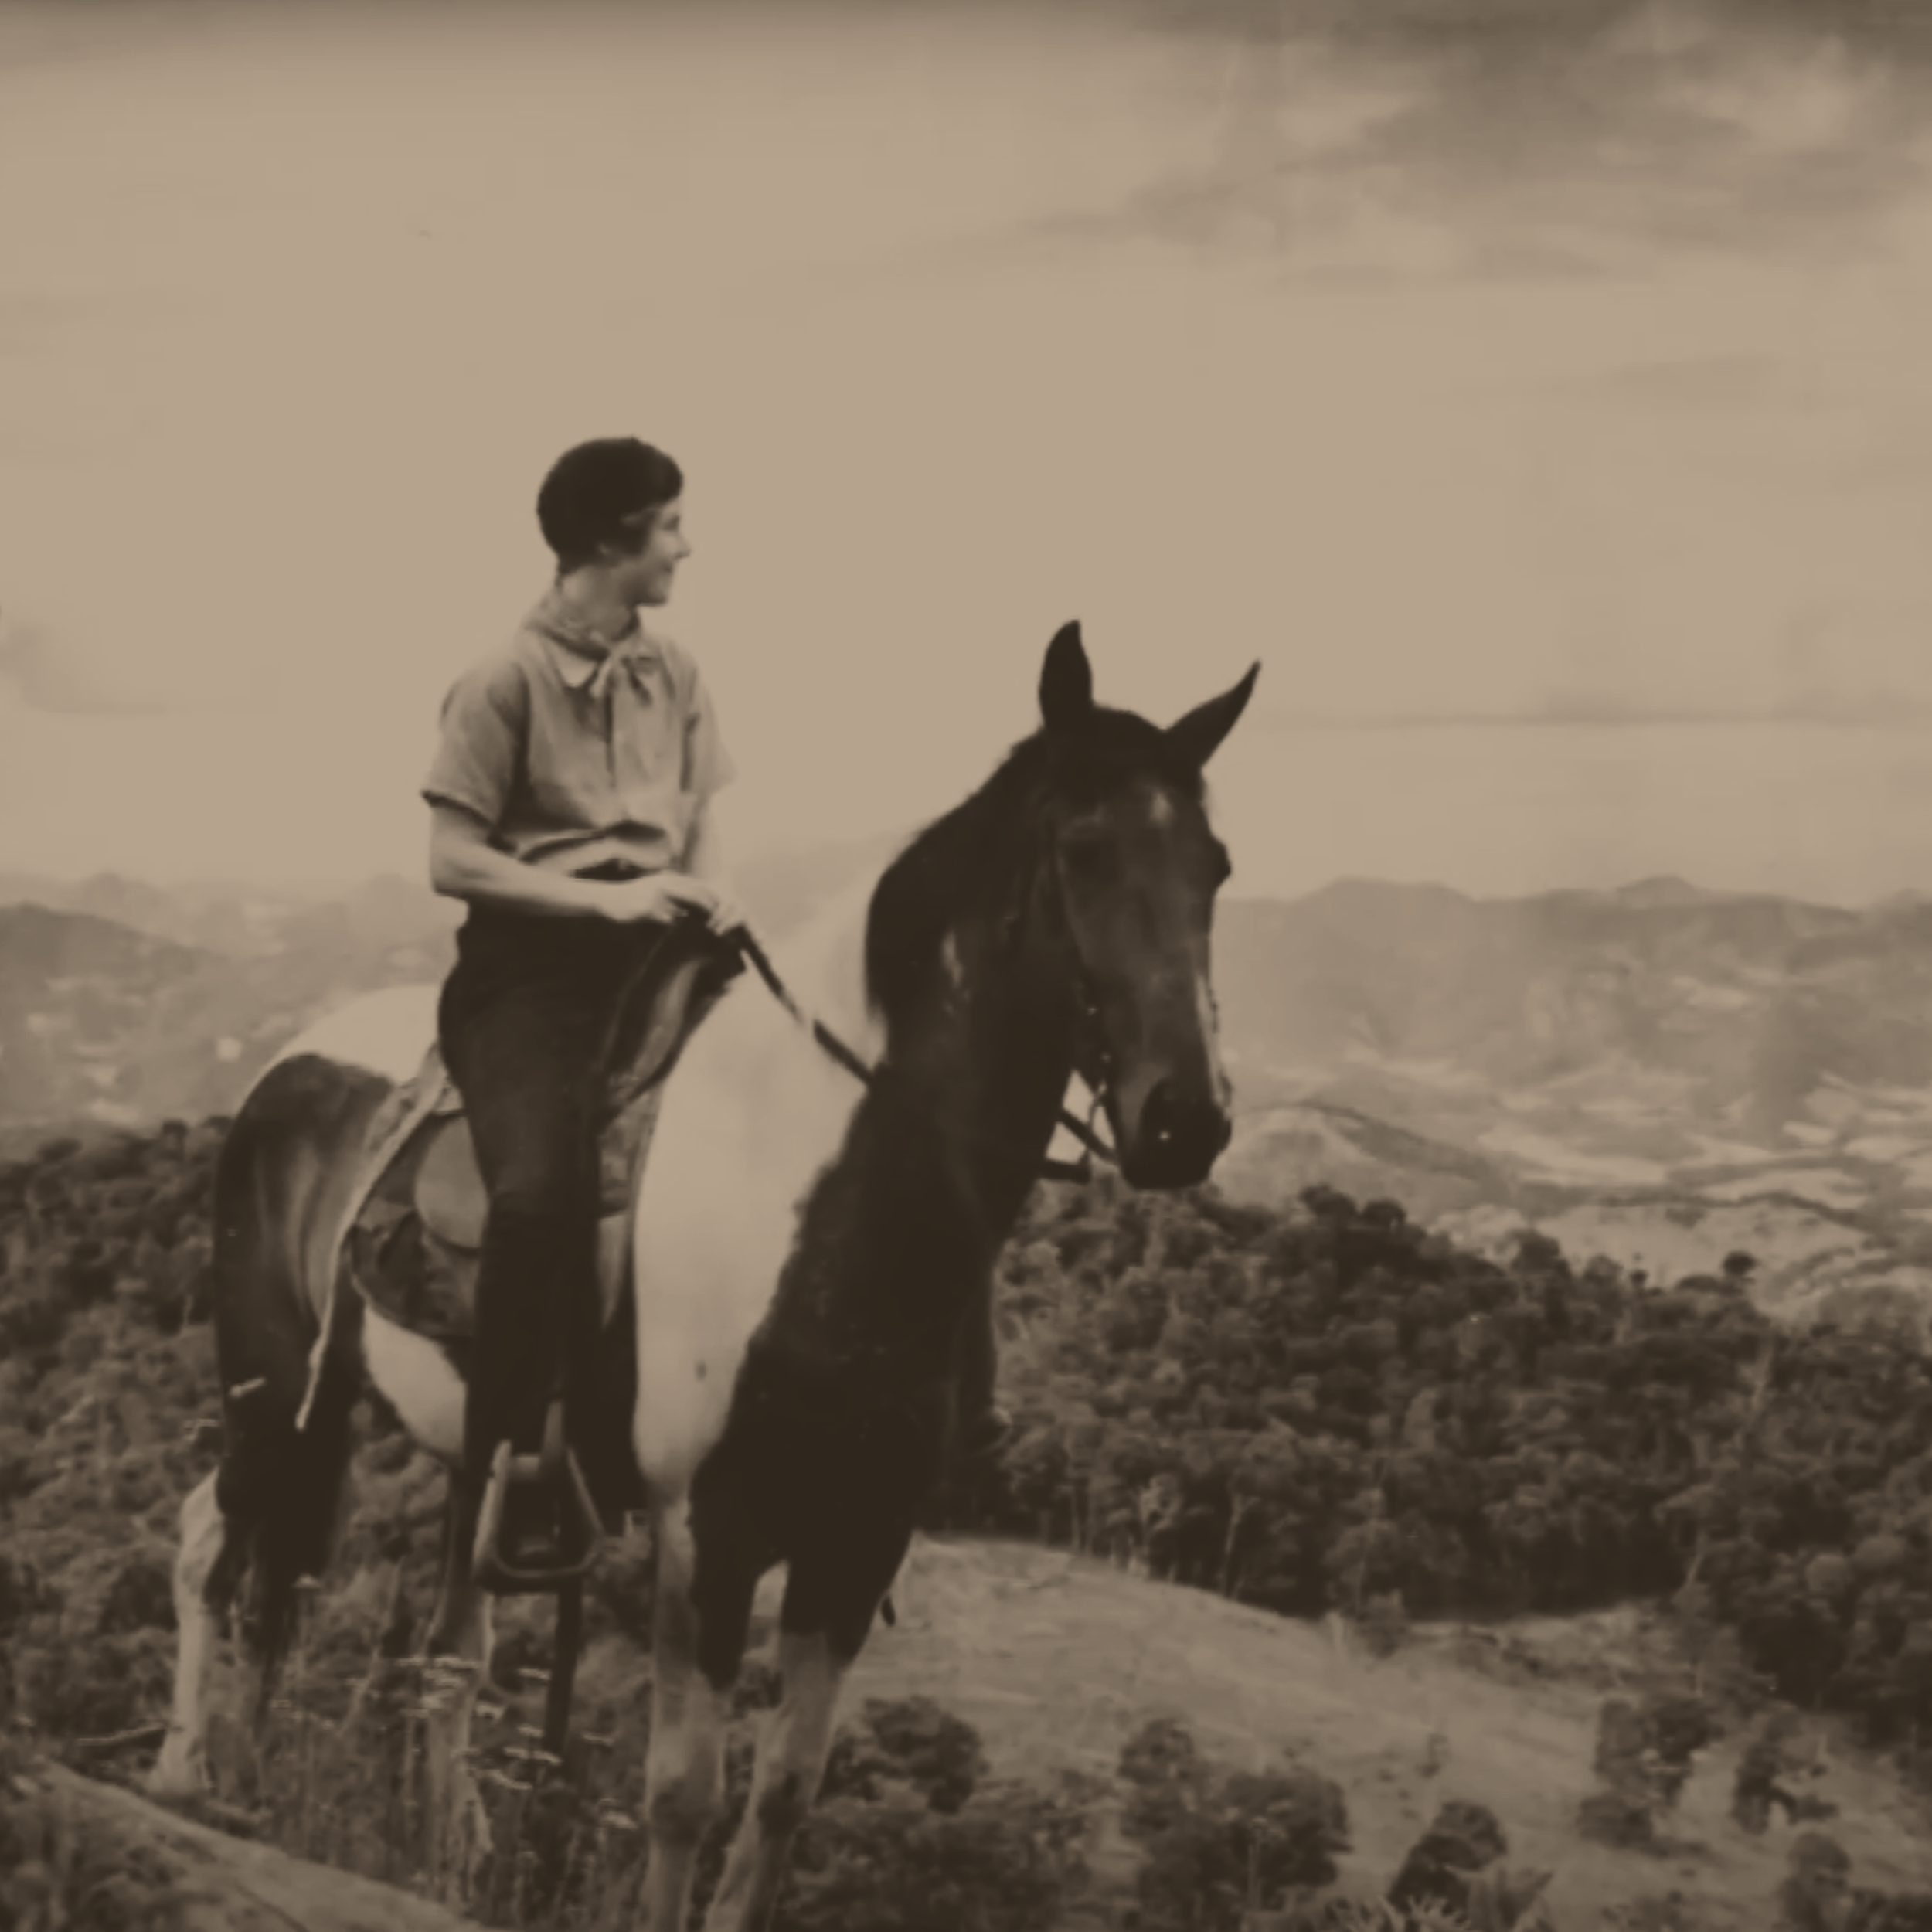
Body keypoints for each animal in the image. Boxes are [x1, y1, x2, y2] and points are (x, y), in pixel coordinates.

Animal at [147, 619, 1257, 1930]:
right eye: (1084, 848)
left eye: (1215, 867)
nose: (1186, 1118)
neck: (824, 1189)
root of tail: (292, 1063)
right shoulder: (707, 1531)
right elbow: (682, 1790)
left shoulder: (853, 1542)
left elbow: (780, 1799)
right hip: (272, 1385)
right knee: (215, 1544)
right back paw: (189, 1778)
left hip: (430, 1435)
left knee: (425, 1638)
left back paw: (376, 1833)